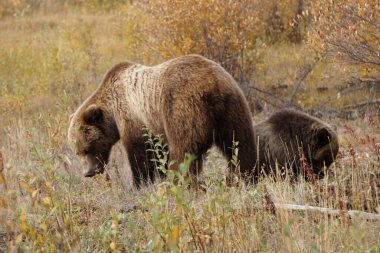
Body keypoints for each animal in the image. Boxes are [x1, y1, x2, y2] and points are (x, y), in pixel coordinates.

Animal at [69, 53, 258, 188]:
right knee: (240, 144)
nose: (88, 172)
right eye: (77, 152)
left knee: (183, 149)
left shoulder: (133, 116)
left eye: (87, 149)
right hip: (233, 108)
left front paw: (140, 183)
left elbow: (141, 153)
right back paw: (248, 175)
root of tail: (212, 84)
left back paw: (180, 181)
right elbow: (159, 153)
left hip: (181, 107)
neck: (112, 112)